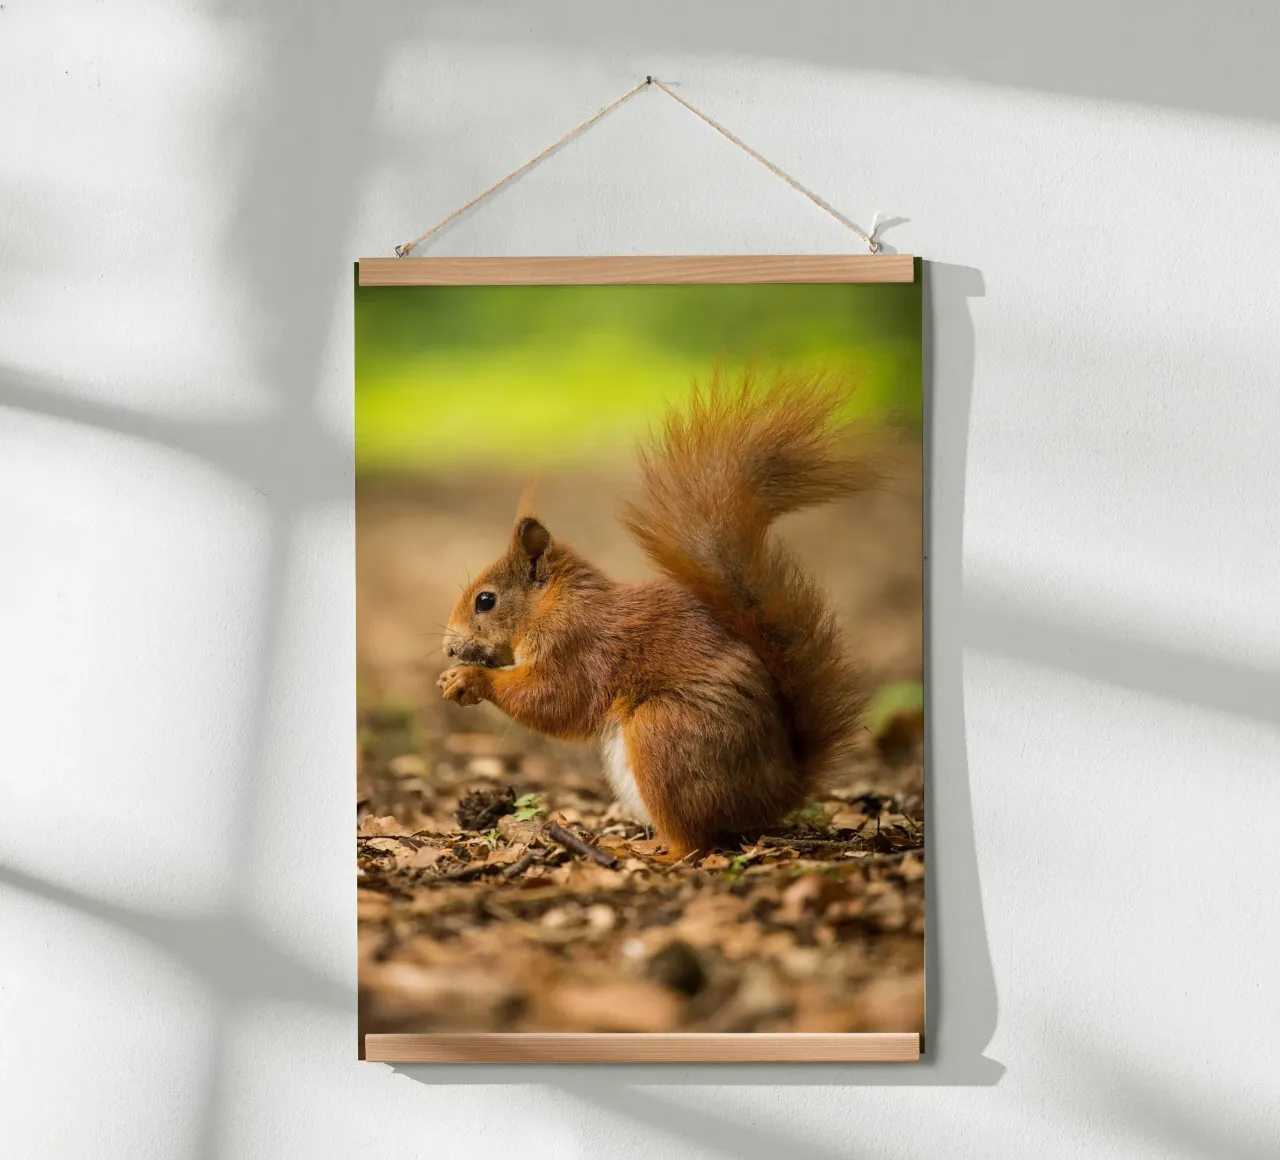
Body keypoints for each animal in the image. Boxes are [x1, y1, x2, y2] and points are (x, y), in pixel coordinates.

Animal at [438, 371, 881, 863]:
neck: (555, 604)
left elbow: (555, 699)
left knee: (695, 843)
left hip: (664, 733)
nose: (449, 647)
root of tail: (776, 793)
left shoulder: (580, 646)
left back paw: (651, 853)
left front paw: (470, 679)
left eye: (485, 601)